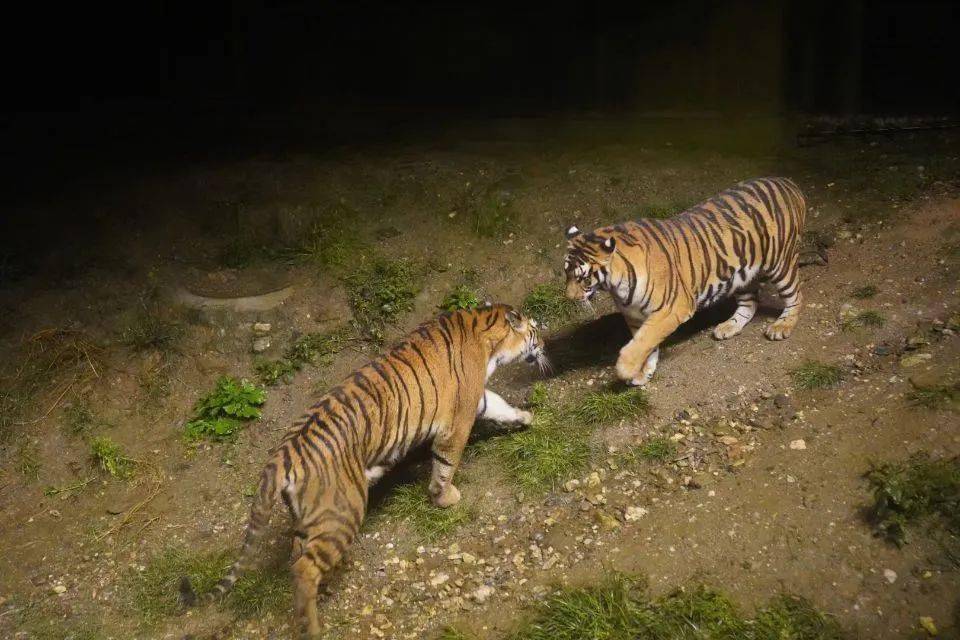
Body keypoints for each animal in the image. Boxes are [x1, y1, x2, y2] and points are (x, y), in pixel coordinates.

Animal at [176, 304, 544, 640]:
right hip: (344, 511)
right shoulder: (458, 418)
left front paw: (527, 418)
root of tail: (283, 454)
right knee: (304, 568)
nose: (542, 343)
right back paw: (313, 627)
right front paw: (444, 497)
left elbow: (501, 406)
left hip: (312, 516)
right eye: (534, 330)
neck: (483, 327)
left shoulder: (477, 399)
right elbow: (446, 462)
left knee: (298, 558)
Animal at [560, 175, 808, 384]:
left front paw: (626, 368)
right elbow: (645, 343)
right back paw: (728, 327)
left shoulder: (672, 309)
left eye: (583, 278)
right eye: (566, 274)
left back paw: (782, 326)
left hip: (781, 263)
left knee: (796, 295)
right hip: (742, 274)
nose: (569, 298)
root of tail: (788, 182)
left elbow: (644, 339)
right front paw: (642, 372)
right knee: (750, 303)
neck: (615, 284)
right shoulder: (634, 315)